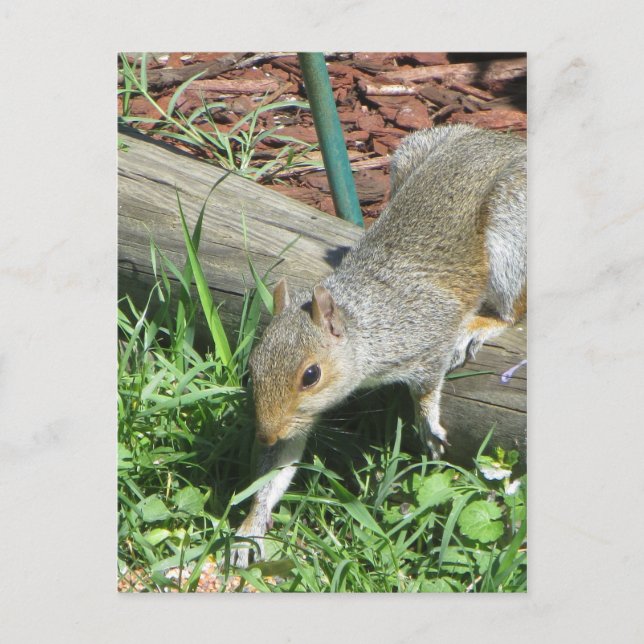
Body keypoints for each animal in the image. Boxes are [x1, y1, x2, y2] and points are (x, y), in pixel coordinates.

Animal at [232, 123, 526, 567]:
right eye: (253, 366)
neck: (364, 324)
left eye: (311, 375)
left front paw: (427, 422)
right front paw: (251, 526)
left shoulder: (427, 331)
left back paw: (482, 323)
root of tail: (505, 142)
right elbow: (278, 467)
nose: (266, 436)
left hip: (512, 222)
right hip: (410, 154)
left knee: (514, 309)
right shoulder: (299, 419)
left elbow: (428, 384)